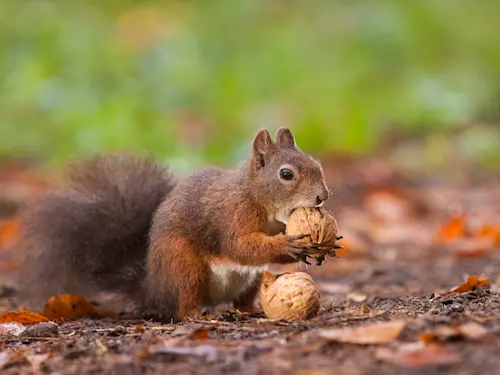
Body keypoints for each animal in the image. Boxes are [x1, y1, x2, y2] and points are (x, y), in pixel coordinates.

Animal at [13, 128, 330, 322]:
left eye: (317, 164)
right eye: (286, 174)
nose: (322, 197)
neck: (255, 196)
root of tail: (153, 288)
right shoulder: (232, 215)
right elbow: (240, 246)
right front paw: (289, 245)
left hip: (249, 280)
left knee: (241, 300)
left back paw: (250, 310)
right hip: (182, 265)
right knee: (184, 303)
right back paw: (197, 316)